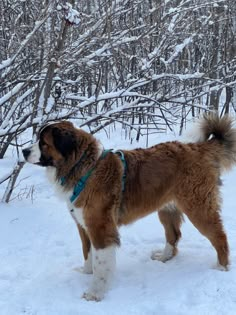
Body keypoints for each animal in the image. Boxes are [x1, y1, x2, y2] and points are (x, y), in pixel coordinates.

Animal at [22, 115, 236, 302]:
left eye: (43, 143)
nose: (24, 151)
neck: (84, 169)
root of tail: (198, 147)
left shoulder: (100, 228)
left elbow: (101, 263)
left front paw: (95, 293)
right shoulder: (83, 225)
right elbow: (87, 252)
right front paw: (86, 272)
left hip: (198, 208)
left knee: (219, 237)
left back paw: (221, 267)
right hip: (166, 209)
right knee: (173, 235)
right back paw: (164, 257)